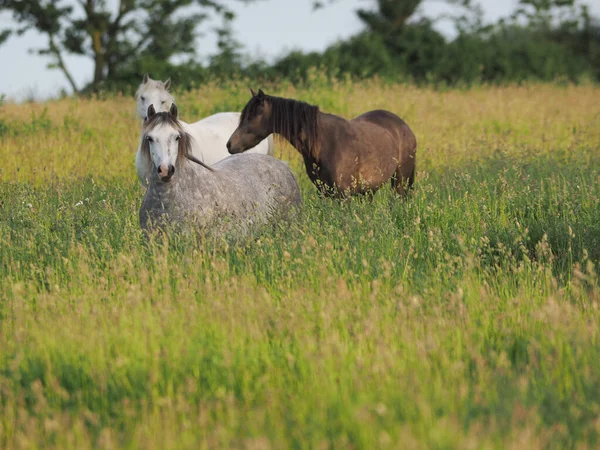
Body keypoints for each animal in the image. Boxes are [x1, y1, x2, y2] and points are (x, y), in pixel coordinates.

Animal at [226, 89, 418, 198]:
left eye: (252, 116)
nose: (229, 145)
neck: (325, 143)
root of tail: (404, 127)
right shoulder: (324, 192)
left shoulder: (343, 195)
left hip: (400, 181)